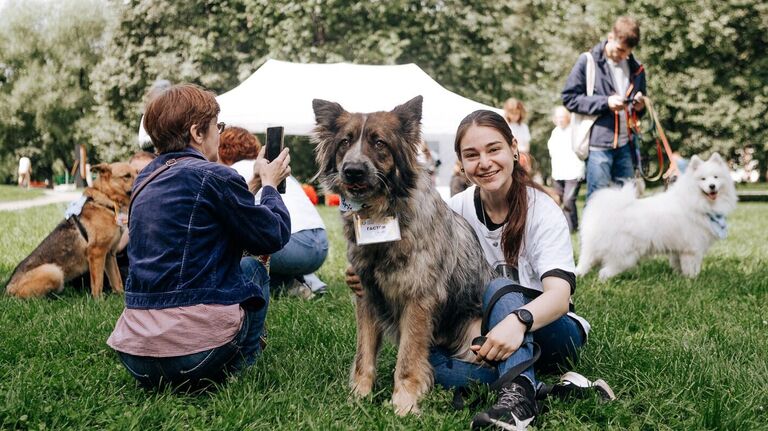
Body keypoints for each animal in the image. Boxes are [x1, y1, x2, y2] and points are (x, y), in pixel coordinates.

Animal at [5, 163, 136, 300]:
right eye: (127, 176)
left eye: (137, 172)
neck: (107, 202)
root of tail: (8, 288)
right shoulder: (96, 253)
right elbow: (97, 283)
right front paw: (99, 301)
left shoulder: (109, 255)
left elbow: (117, 280)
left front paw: (121, 296)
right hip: (54, 272)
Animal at [576, 154, 736, 282]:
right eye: (703, 179)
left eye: (716, 177)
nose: (712, 186)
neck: (695, 201)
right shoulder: (692, 248)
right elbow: (692, 267)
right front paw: (693, 280)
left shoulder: (678, 248)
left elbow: (678, 264)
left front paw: (680, 277)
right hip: (625, 254)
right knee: (606, 270)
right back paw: (604, 280)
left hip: (593, 248)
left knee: (586, 262)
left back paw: (579, 274)